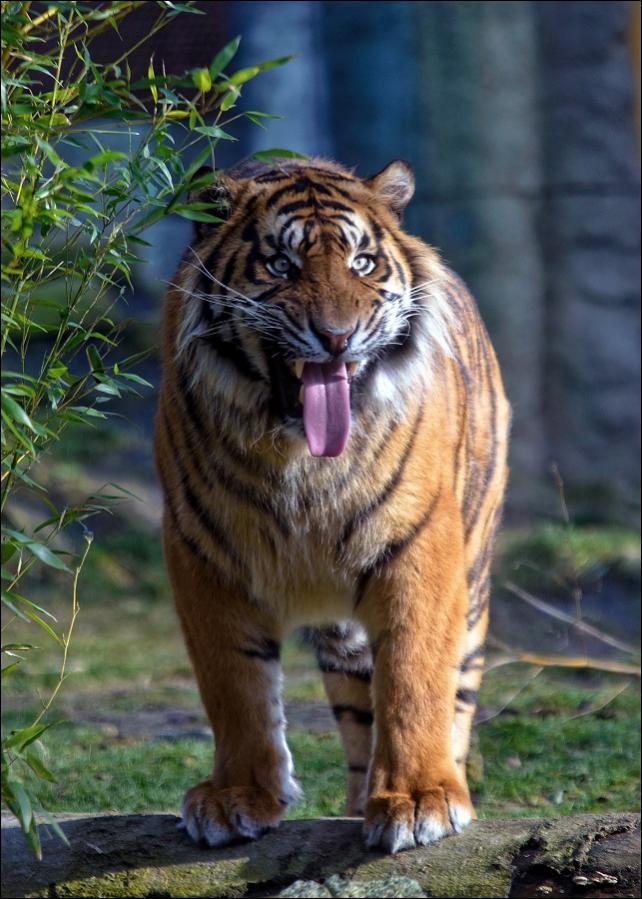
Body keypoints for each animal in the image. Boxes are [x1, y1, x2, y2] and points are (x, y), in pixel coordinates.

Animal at [154, 156, 510, 854]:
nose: (337, 338)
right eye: (281, 266)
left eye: (363, 263)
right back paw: (353, 804)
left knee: (451, 692)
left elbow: (414, 675)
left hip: (475, 576)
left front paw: (420, 801)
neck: (301, 460)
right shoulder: (202, 553)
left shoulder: (420, 546)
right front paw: (238, 797)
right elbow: (234, 686)